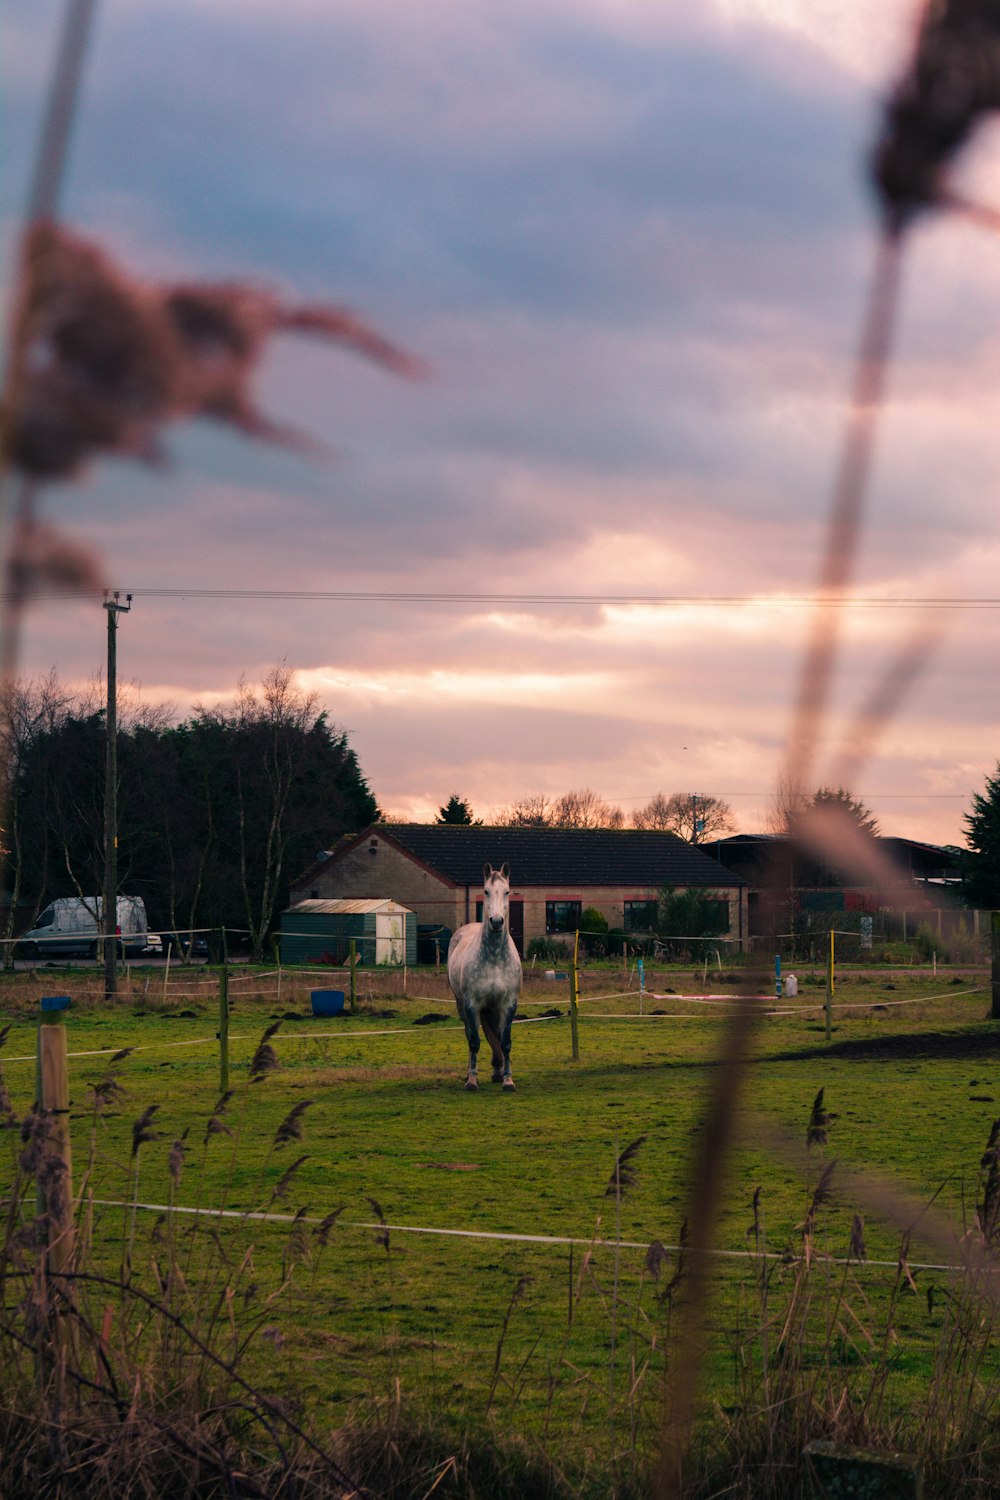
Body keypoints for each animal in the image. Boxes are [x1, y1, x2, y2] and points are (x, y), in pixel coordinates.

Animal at [446, 870, 524, 1092]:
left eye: (507, 891)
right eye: (486, 891)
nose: (496, 921)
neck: (495, 957)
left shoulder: (508, 1005)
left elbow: (504, 1041)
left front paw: (508, 1080)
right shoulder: (472, 1005)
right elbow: (474, 1041)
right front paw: (472, 1080)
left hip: (493, 1009)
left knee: (495, 1035)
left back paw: (497, 1071)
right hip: (462, 1005)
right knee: (469, 1034)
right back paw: (469, 1074)